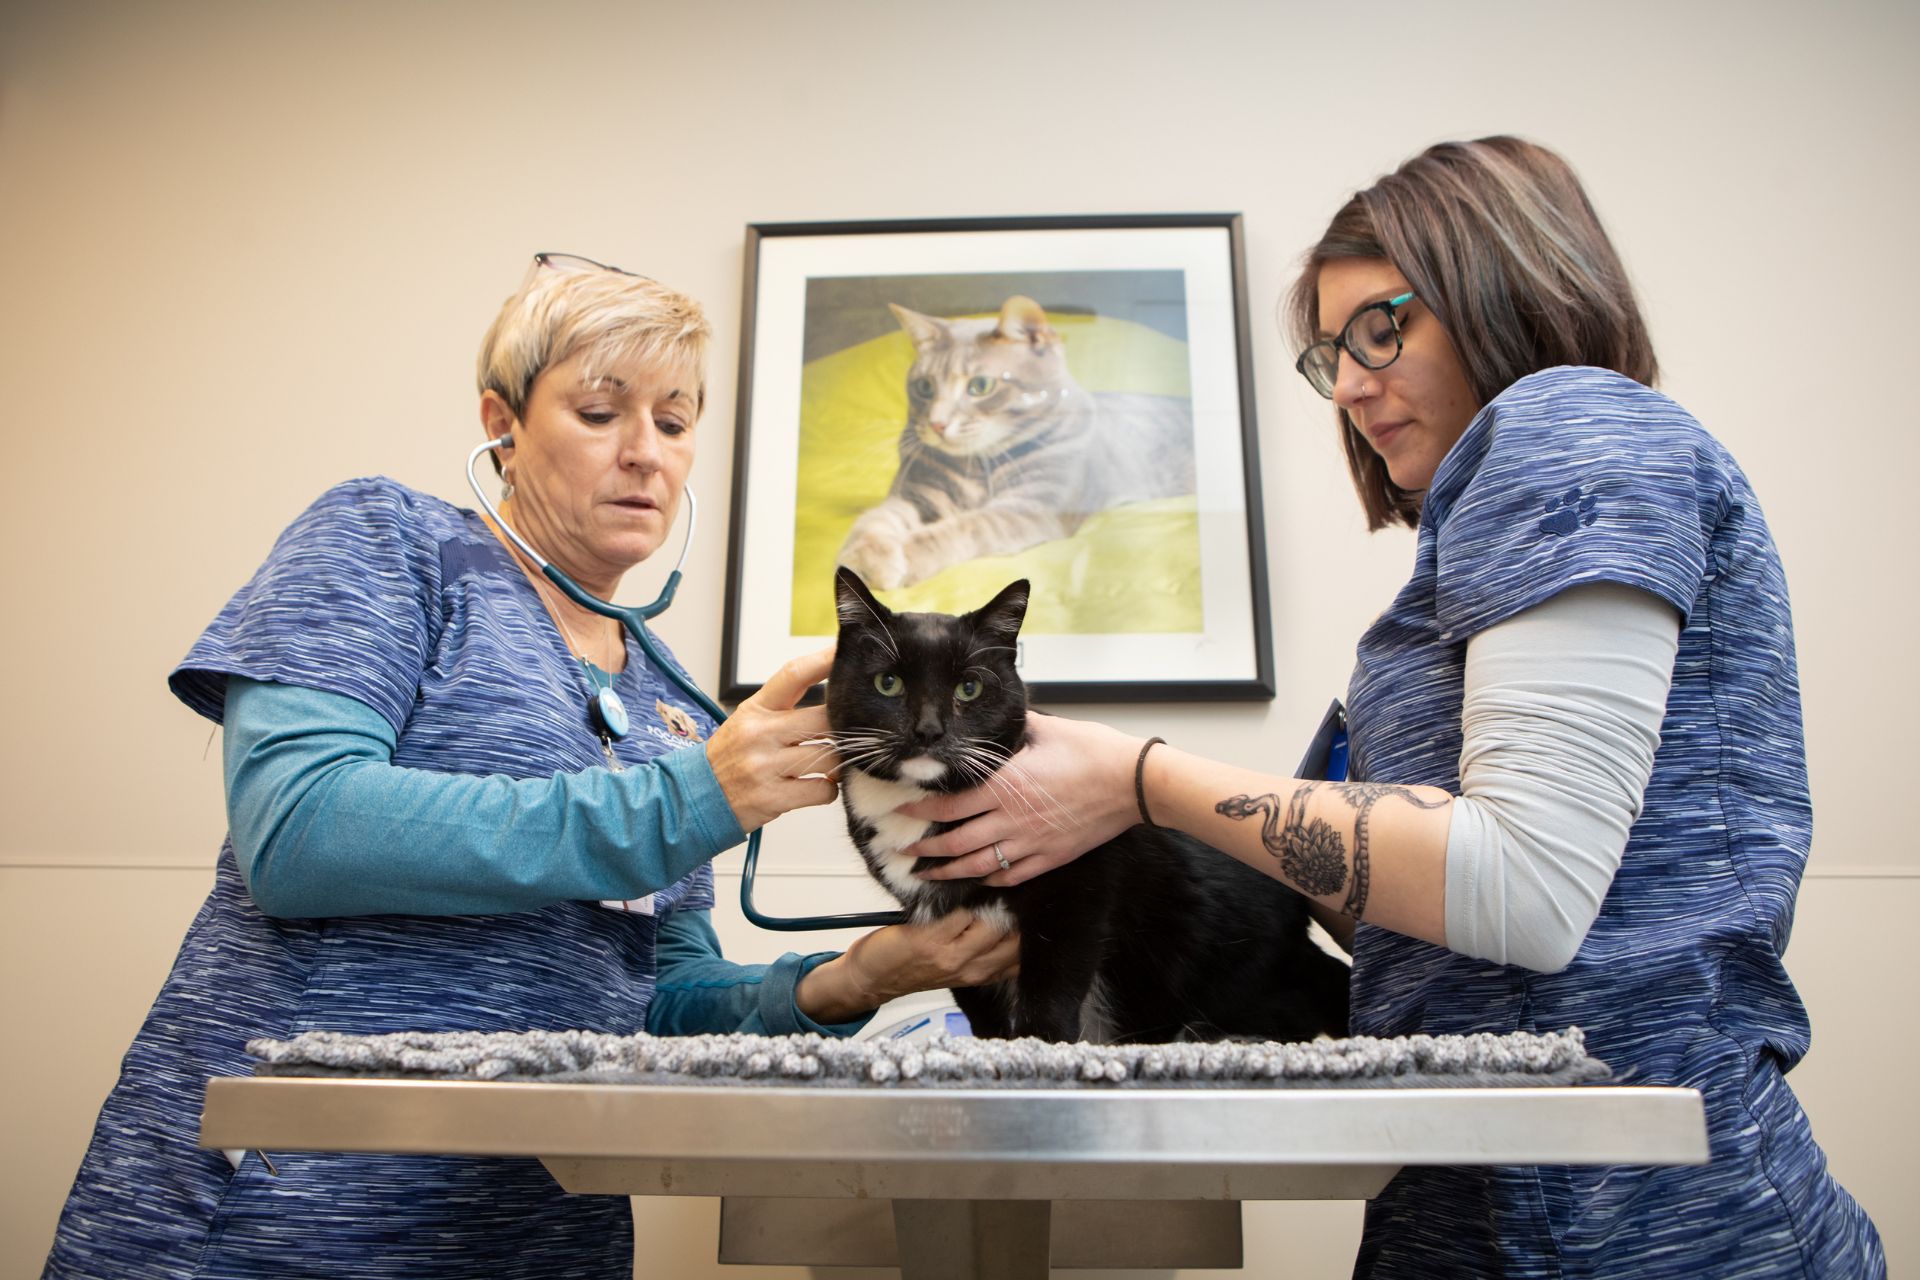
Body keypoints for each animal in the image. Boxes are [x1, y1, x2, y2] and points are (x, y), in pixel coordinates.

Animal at [825, 564, 1351, 1043]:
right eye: (888, 683)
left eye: (969, 688)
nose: (928, 731)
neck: (918, 799)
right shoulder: (945, 925)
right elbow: (981, 1009)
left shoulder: (1079, 888)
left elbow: (1052, 986)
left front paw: (1039, 1048)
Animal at [837, 297, 1190, 591]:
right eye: (924, 387)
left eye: (980, 385)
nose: (937, 423)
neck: (979, 464)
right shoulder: (918, 494)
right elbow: (875, 519)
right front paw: (866, 559)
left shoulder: (1032, 507)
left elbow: (969, 525)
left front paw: (911, 554)